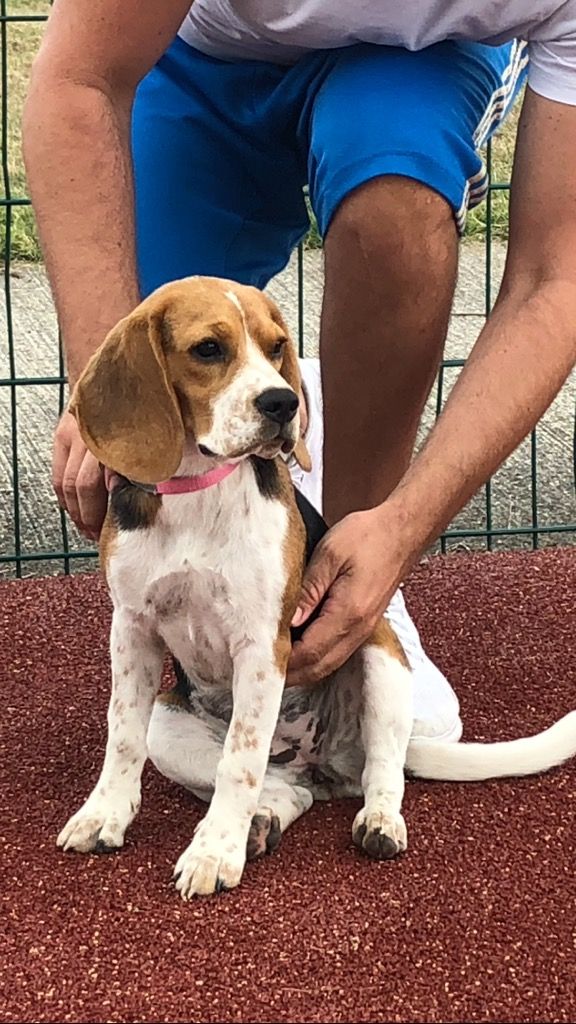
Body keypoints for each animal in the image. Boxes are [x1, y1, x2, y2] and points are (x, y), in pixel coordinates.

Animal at [57, 276, 573, 901]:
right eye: (208, 349)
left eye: (277, 346)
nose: (284, 403)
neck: (197, 491)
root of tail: (321, 760)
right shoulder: (132, 630)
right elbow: (123, 736)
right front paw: (104, 814)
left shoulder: (261, 646)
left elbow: (240, 761)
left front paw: (213, 853)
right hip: (172, 727)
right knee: (283, 788)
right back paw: (262, 823)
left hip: (379, 659)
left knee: (379, 771)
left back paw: (377, 820)